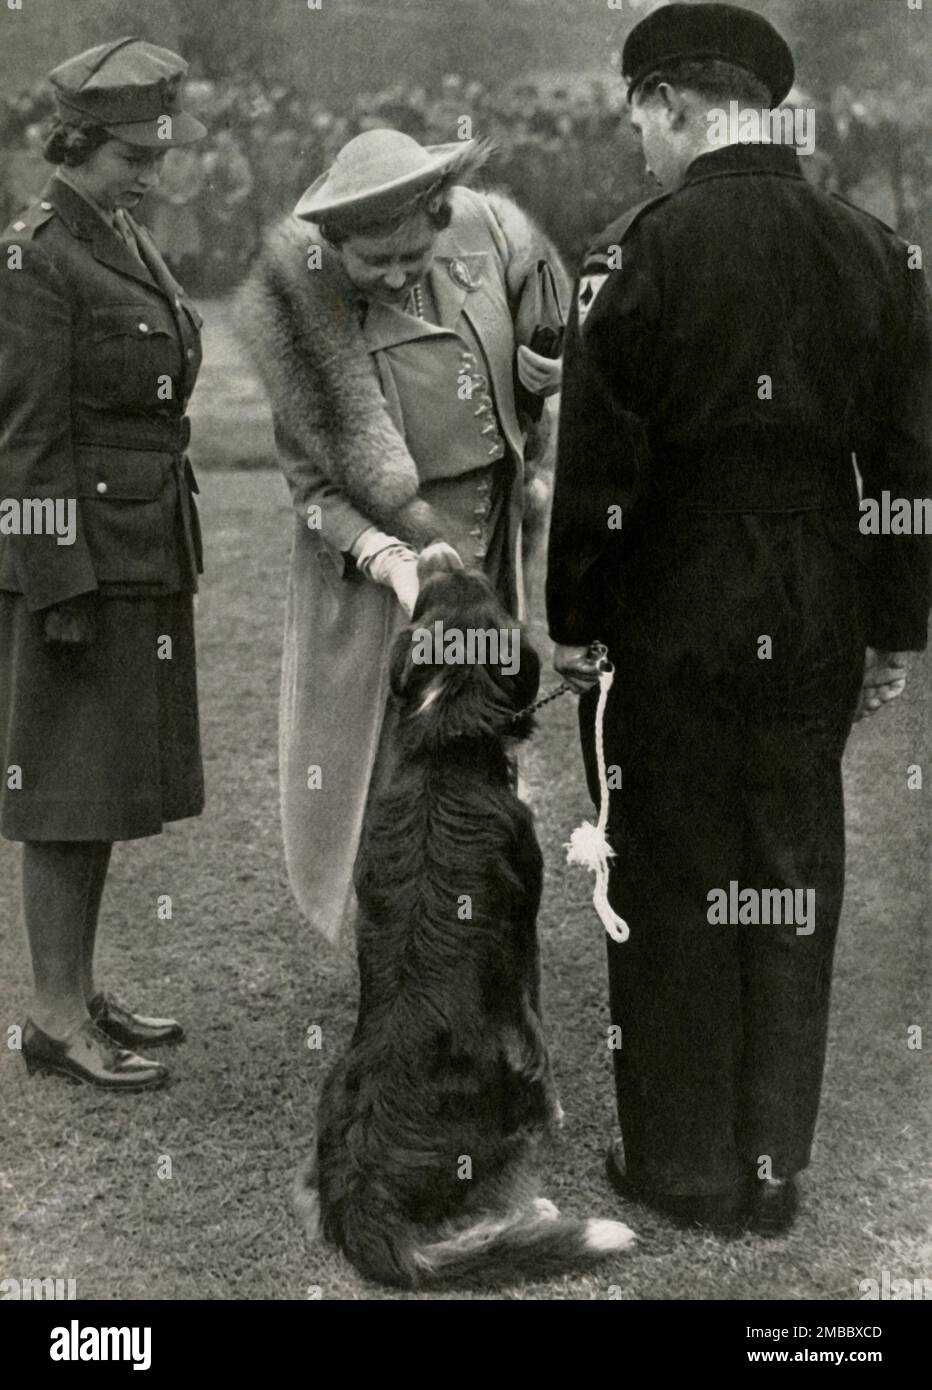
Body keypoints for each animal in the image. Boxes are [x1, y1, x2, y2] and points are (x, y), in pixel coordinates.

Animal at [298, 544, 633, 1289]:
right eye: (486, 587)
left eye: (446, 588)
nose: (436, 548)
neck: (445, 739)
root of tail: (360, 1190)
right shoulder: (524, 938)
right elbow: (536, 1028)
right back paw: (534, 1212)